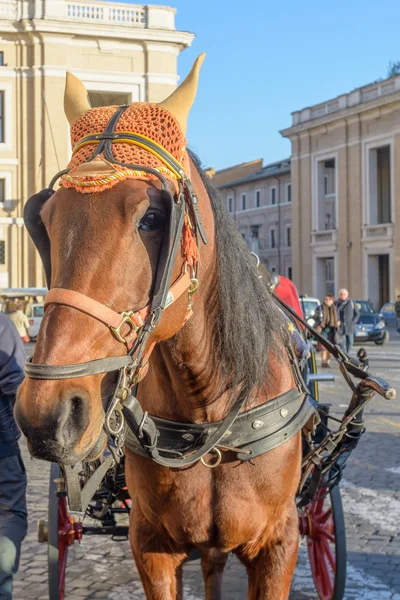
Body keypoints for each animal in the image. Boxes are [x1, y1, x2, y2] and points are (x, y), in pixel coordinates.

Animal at [14, 54, 310, 596]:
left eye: (152, 216)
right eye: (44, 219)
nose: (46, 413)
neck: (210, 424)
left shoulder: (280, 545)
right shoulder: (150, 544)